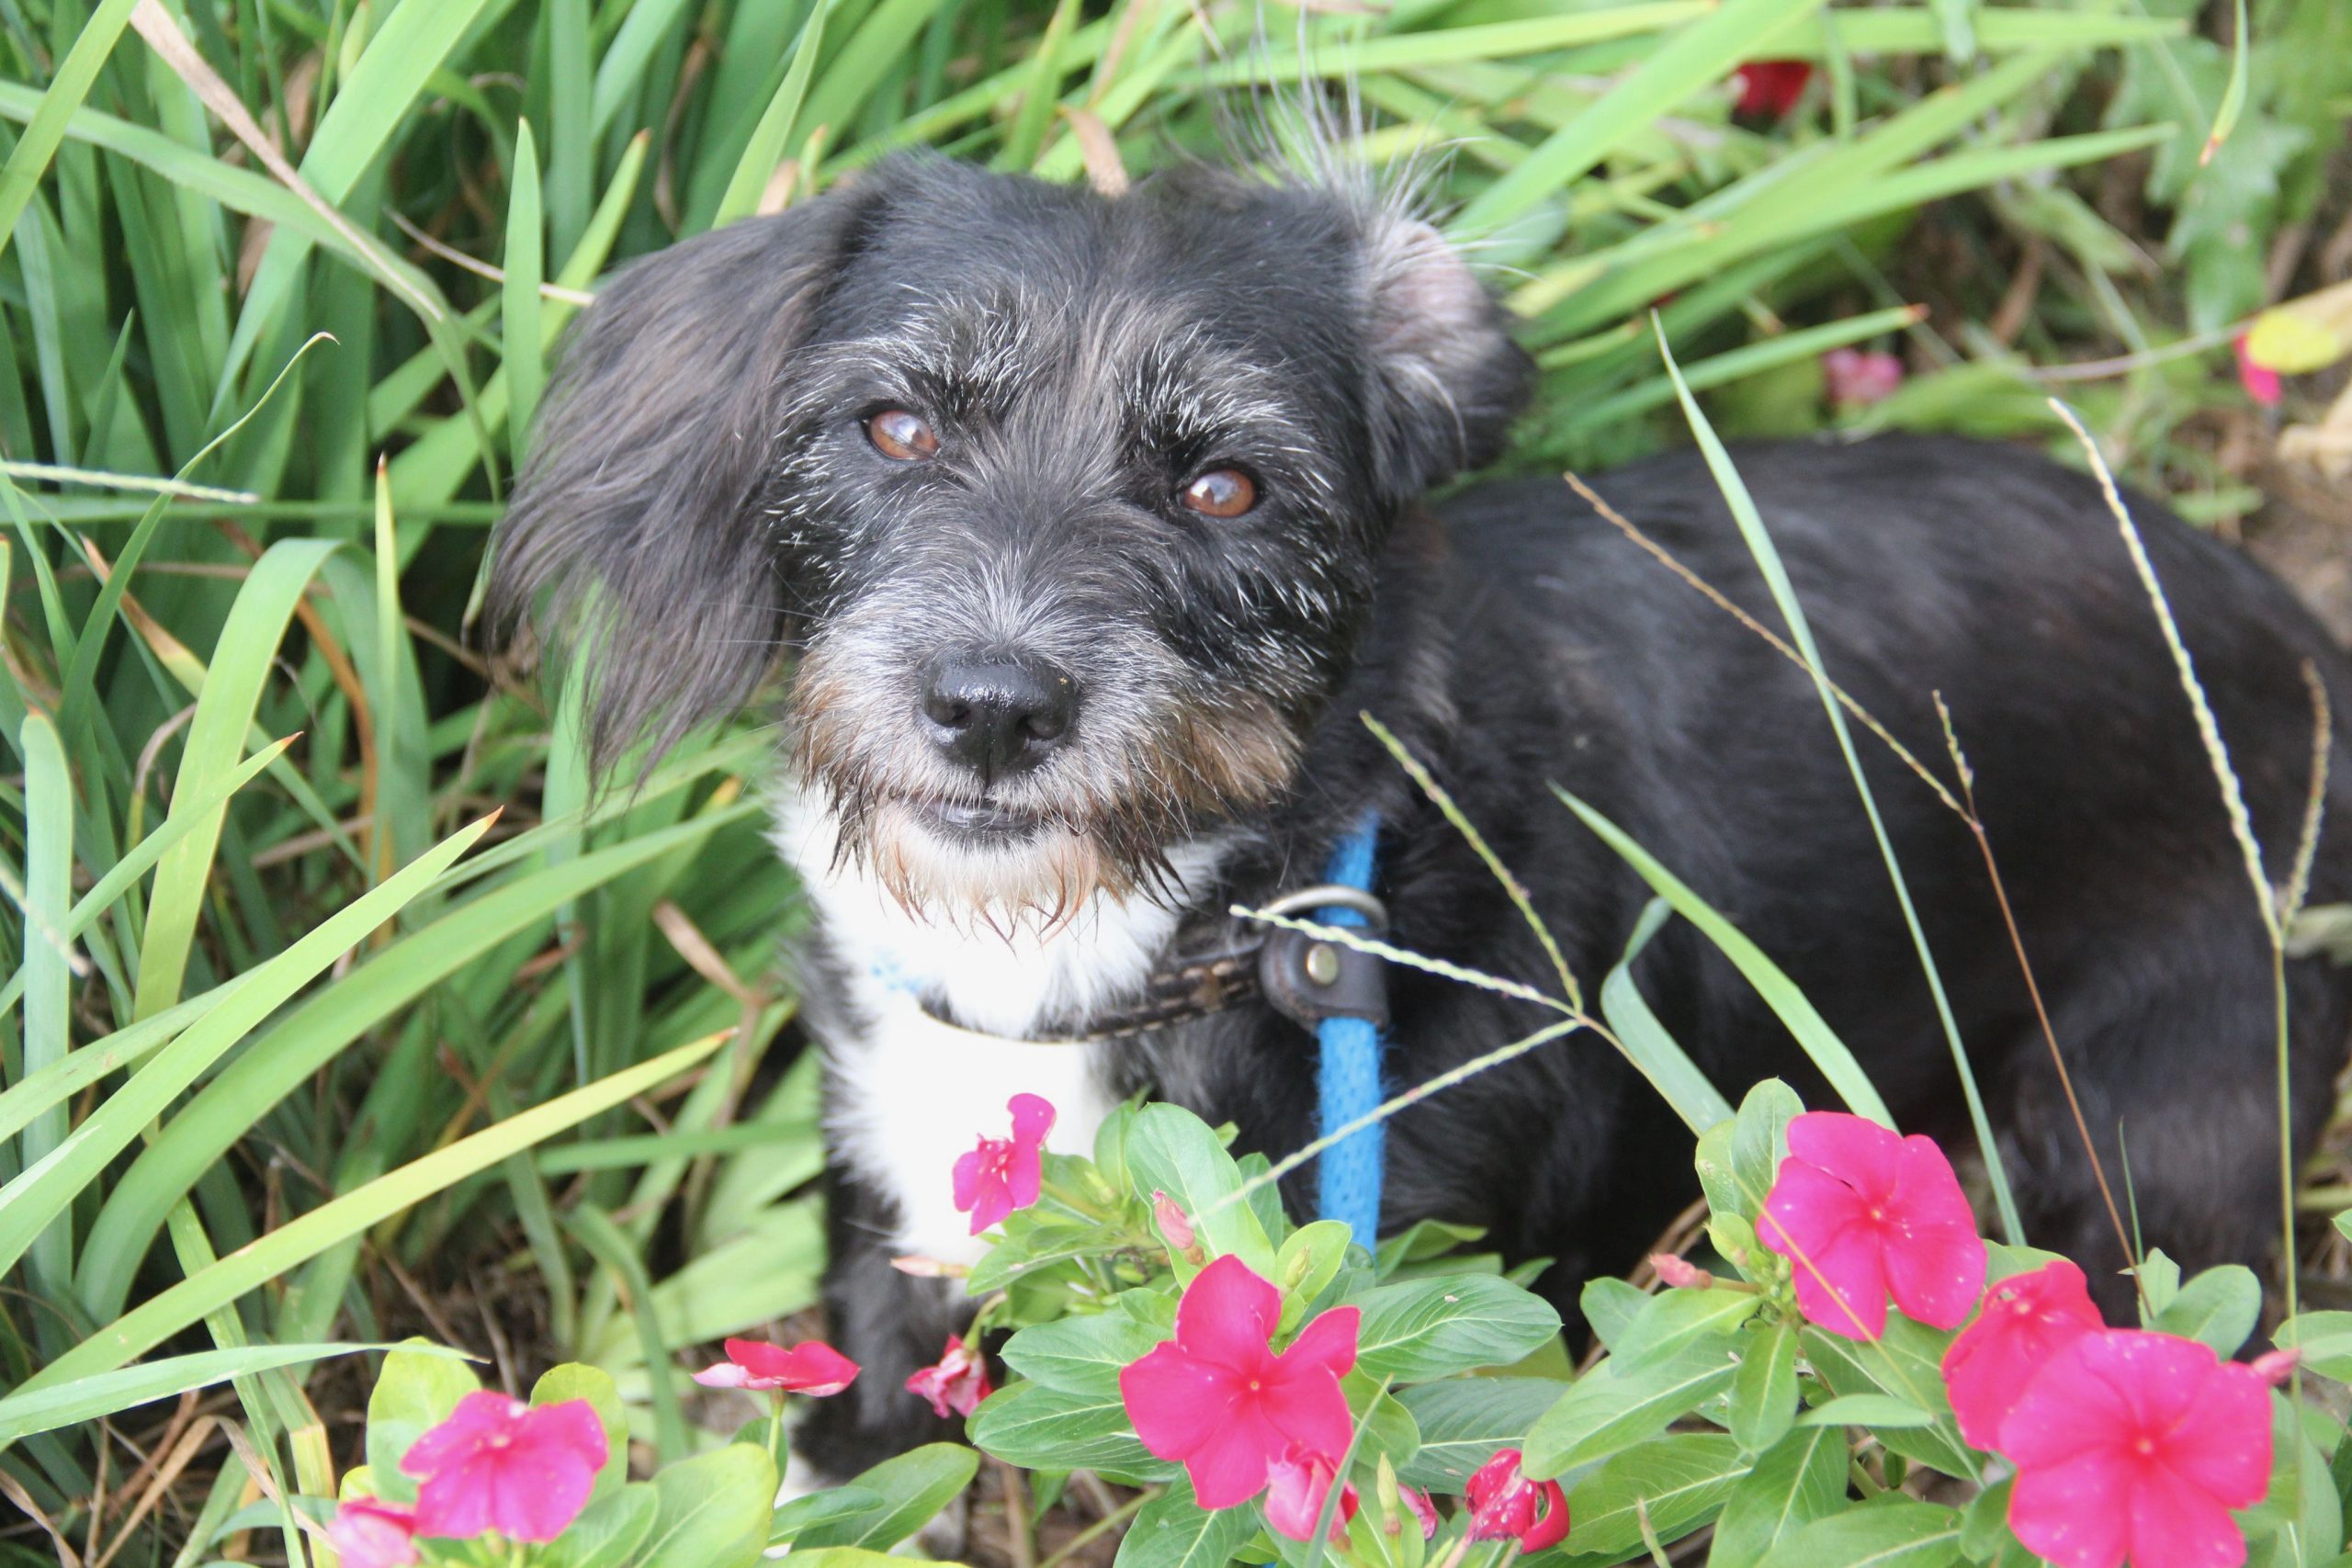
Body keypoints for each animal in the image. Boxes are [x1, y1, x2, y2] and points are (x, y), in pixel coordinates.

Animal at [486, 146, 2352, 1476]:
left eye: (1225, 484)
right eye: (893, 425)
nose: (995, 705)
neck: (1133, 950)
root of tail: (2302, 636)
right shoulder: (898, 1243)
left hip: (2140, 1157)